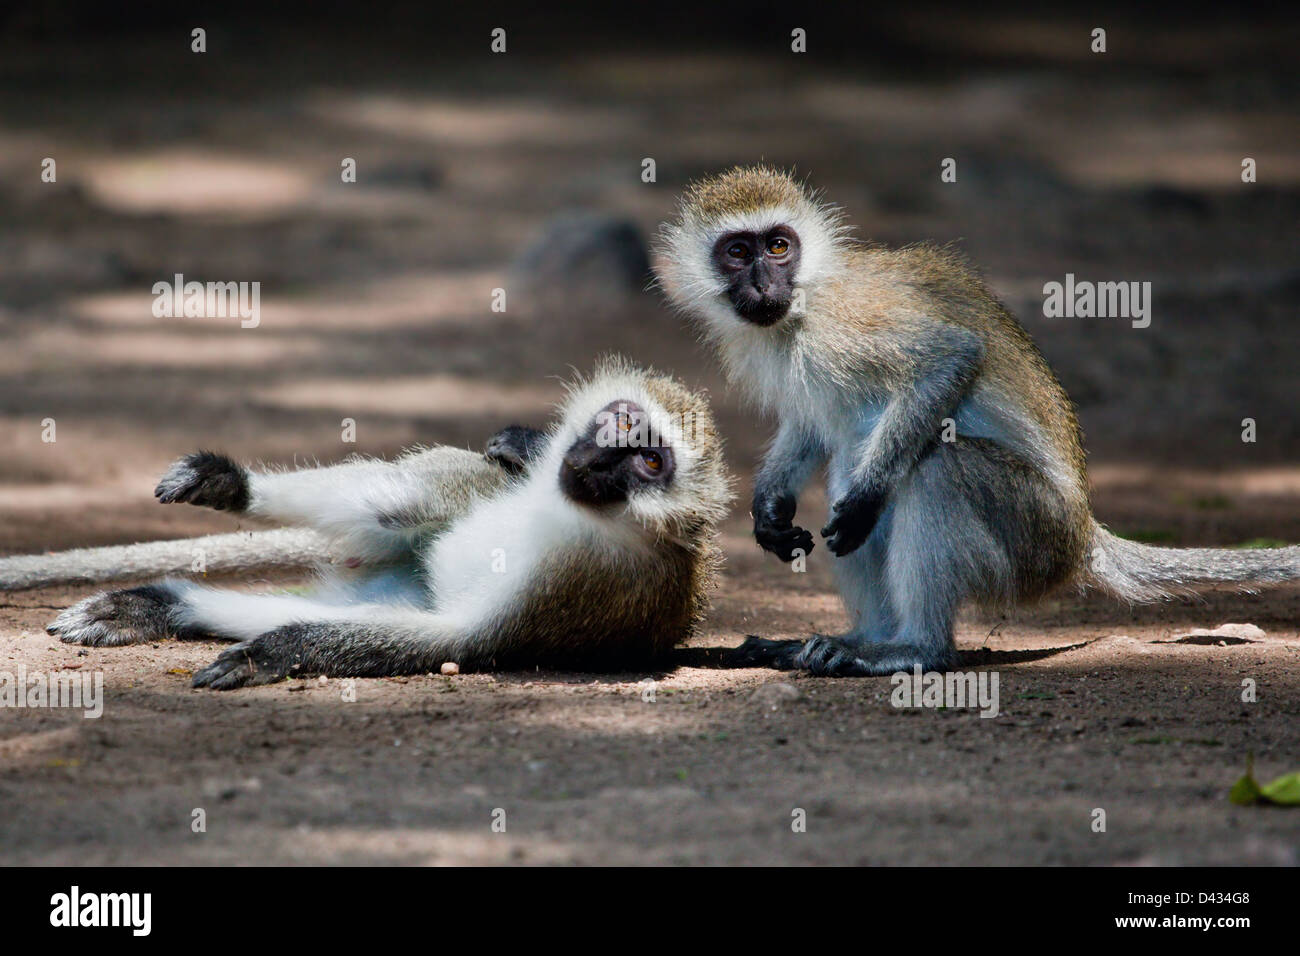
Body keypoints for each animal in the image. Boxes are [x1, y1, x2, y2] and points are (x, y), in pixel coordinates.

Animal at [38, 361, 733, 691]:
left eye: (649, 462)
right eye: (622, 422)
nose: (596, 461)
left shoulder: (584, 584)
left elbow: (459, 640)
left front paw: (273, 652)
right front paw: (229, 482)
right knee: (400, 503)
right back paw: (163, 600)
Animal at [660, 164, 1300, 676]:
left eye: (777, 247)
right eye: (738, 252)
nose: (764, 283)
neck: (800, 306)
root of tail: (1084, 536)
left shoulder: (847, 322)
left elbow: (953, 355)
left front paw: (864, 498)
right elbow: (812, 427)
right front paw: (769, 507)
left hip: (1033, 537)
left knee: (934, 467)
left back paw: (915, 648)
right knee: (851, 460)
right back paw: (861, 639)